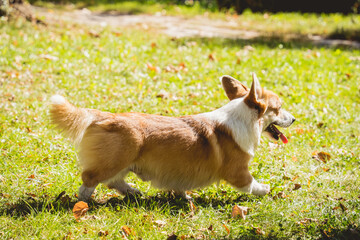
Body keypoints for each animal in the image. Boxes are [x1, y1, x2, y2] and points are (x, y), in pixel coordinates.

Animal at [50, 72, 296, 201]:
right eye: (278, 108)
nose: (294, 119)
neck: (243, 119)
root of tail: (104, 115)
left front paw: (183, 196)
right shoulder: (237, 171)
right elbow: (250, 183)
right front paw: (264, 189)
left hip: (123, 161)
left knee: (114, 181)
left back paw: (133, 191)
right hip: (116, 159)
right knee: (90, 178)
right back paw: (84, 202)